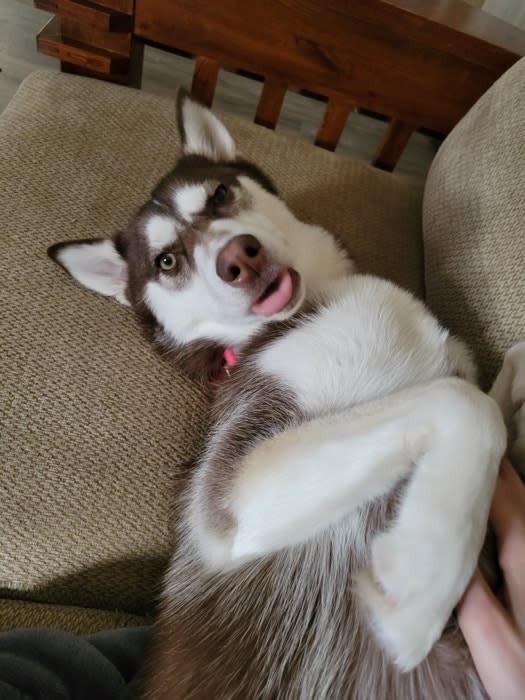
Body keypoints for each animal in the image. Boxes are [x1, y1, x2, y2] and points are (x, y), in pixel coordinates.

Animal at [50, 94, 524, 700]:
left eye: (220, 194)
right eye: (166, 262)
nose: (240, 258)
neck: (315, 303)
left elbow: (504, 371)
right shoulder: (231, 492)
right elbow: (465, 402)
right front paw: (420, 584)